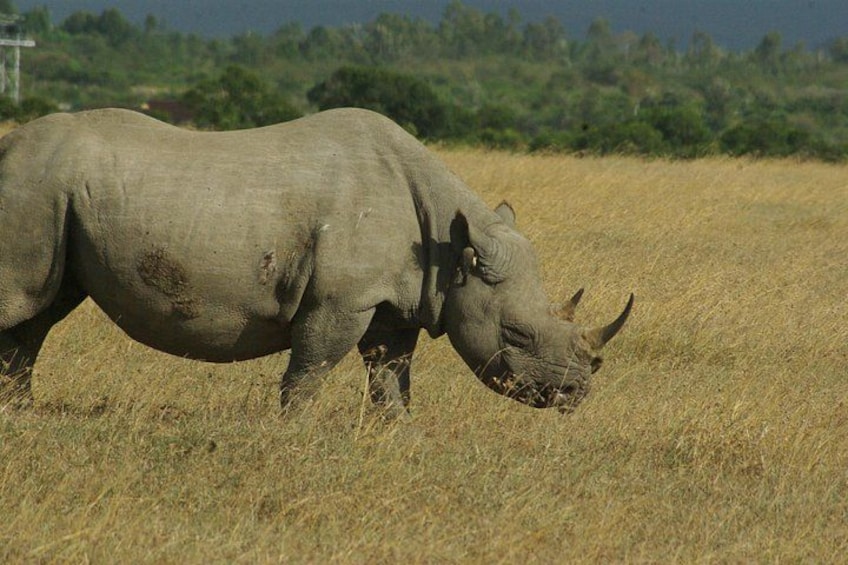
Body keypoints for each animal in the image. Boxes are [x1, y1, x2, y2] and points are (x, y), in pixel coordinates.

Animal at [0, 107, 632, 416]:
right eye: (518, 334)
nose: (574, 396)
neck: (450, 247)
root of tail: (8, 146)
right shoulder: (341, 299)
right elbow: (310, 369)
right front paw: (290, 433)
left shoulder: (396, 300)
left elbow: (391, 376)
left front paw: (396, 434)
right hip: (33, 187)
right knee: (22, 306)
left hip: (57, 198)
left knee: (37, 316)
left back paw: (22, 416)